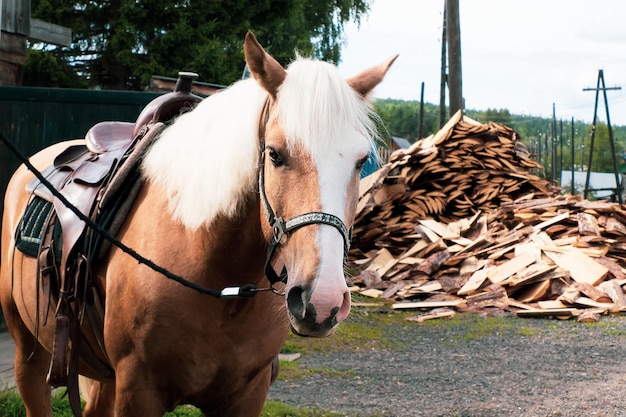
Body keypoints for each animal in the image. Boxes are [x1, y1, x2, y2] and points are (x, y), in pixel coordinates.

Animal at [0, 33, 394, 416]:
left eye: (361, 161)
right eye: (275, 154)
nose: (322, 301)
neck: (221, 284)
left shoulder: (247, 397)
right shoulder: (138, 393)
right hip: (31, 354)